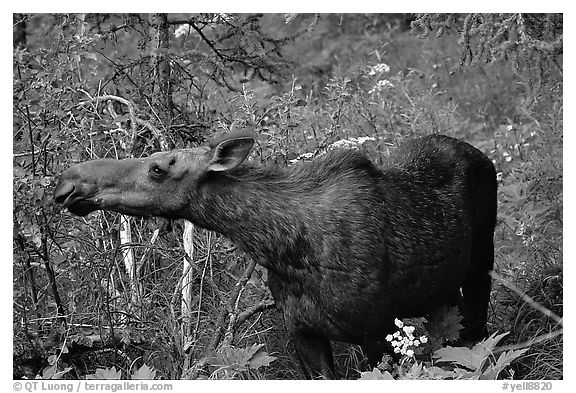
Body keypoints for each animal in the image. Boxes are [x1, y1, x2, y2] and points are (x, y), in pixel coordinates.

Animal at [51, 132, 498, 376]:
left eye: (159, 167)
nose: (67, 183)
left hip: (481, 265)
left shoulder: (377, 331)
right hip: (441, 290)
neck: (284, 250)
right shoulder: (303, 332)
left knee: (477, 338)